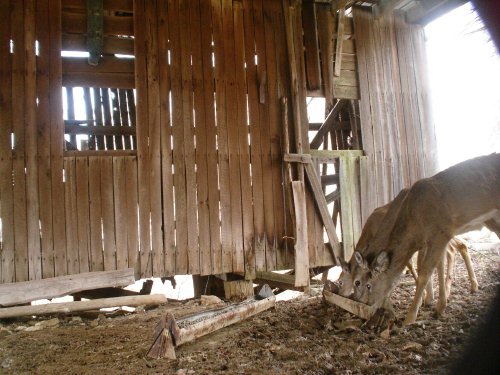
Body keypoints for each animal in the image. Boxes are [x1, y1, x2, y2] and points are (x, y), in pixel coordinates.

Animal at [334, 153, 498, 326]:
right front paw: (431, 300)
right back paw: (471, 286)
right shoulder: (426, 241)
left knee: (459, 246)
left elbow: (422, 270)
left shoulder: (437, 234)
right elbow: (425, 266)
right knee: (461, 245)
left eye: (359, 282)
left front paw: (419, 310)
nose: (360, 301)